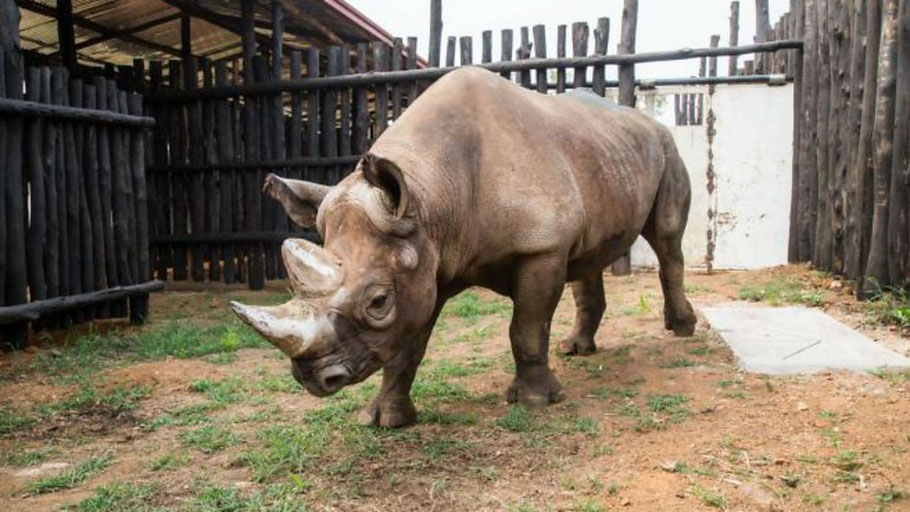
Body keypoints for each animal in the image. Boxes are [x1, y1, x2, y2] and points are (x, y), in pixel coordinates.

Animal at [231, 67, 697, 427]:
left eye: (378, 302)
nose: (312, 378)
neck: (430, 196)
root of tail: (646, 119)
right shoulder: (425, 260)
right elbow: (407, 345)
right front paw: (385, 419)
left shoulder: (539, 249)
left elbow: (526, 329)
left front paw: (534, 402)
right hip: (603, 155)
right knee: (587, 256)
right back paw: (576, 349)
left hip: (667, 147)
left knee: (667, 240)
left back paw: (681, 330)